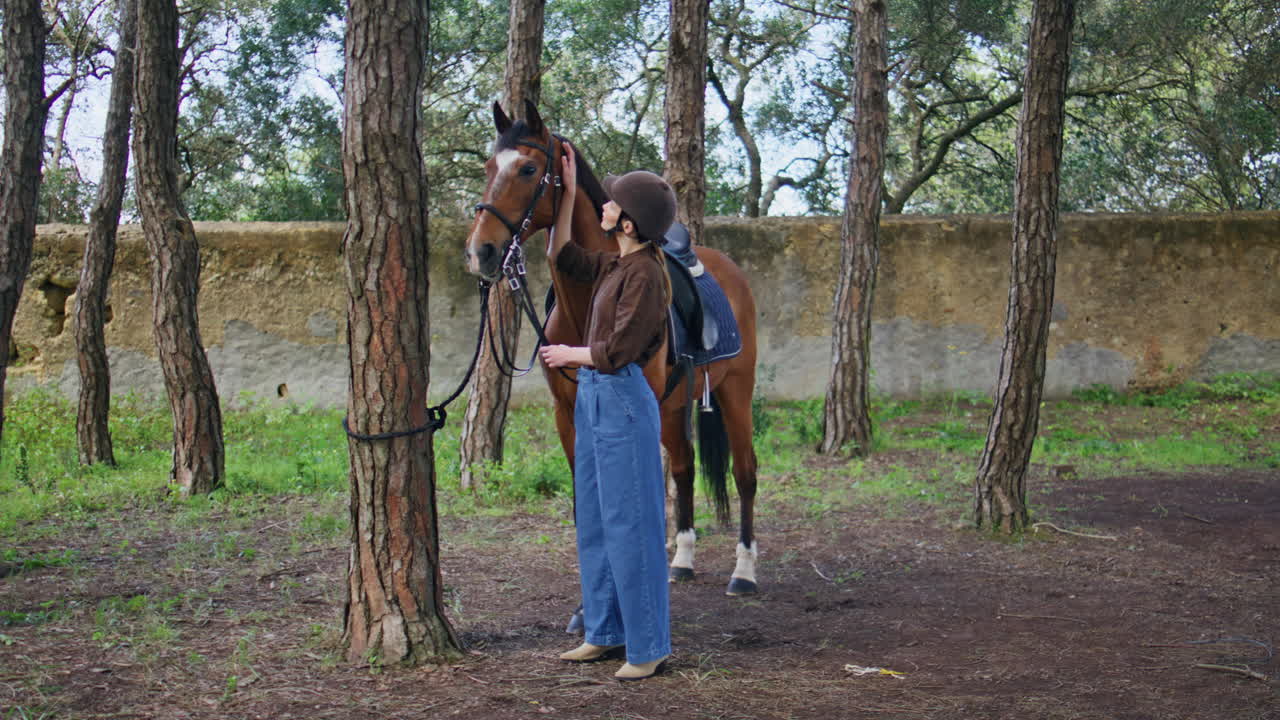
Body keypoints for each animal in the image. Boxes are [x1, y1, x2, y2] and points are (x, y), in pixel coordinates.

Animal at [463, 100, 761, 601]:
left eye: (528, 168)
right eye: (488, 167)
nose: (480, 252)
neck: (590, 302)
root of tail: (730, 270)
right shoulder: (566, 413)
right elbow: (587, 501)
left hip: (735, 391)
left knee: (745, 473)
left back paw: (744, 571)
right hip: (673, 406)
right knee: (684, 467)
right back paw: (682, 560)